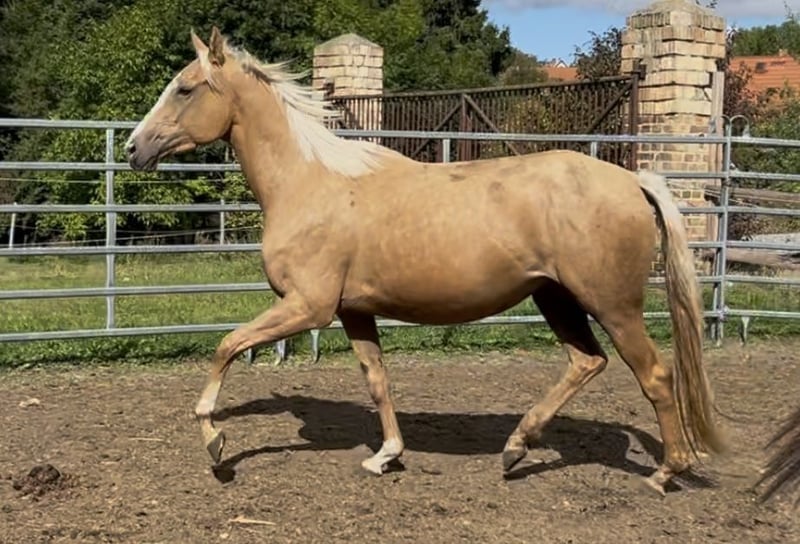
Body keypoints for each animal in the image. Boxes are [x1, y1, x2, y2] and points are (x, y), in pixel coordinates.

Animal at [125, 27, 726, 495]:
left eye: (184, 88)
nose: (134, 148)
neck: (309, 182)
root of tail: (633, 180)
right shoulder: (353, 311)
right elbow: (376, 379)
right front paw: (386, 455)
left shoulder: (307, 307)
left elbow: (226, 346)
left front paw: (214, 439)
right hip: (554, 297)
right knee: (587, 362)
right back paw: (516, 447)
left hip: (613, 304)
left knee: (654, 373)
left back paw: (665, 472)